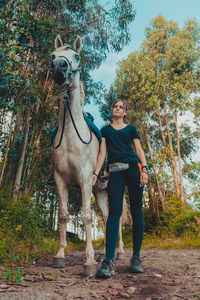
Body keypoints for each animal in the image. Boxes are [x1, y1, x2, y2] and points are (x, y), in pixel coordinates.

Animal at [50, 35, 123, 276]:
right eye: (53, 56)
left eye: (76, 56)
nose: (59, 67)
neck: (71, 135)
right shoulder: (60, 179)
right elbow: (63, 215)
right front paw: (60, 255)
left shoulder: (84, 179)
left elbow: (86, 216)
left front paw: (89, 261)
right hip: (99, 192)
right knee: (108, 218)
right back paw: (107, 253)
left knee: (116, 218)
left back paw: (119, 252)